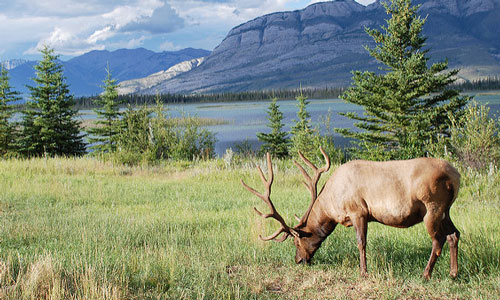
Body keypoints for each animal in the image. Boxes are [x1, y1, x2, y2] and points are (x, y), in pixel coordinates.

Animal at [242, 148, 460, 278]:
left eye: (296, 242)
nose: (298, 260)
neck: (332, 205)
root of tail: (455, 176)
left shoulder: (358, 211)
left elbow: (361, 242)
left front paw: (363, 272)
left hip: (432, 206)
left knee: (437, 240)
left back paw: (426, 274)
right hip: (446, 210)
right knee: (454, 235)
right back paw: (453, 273)